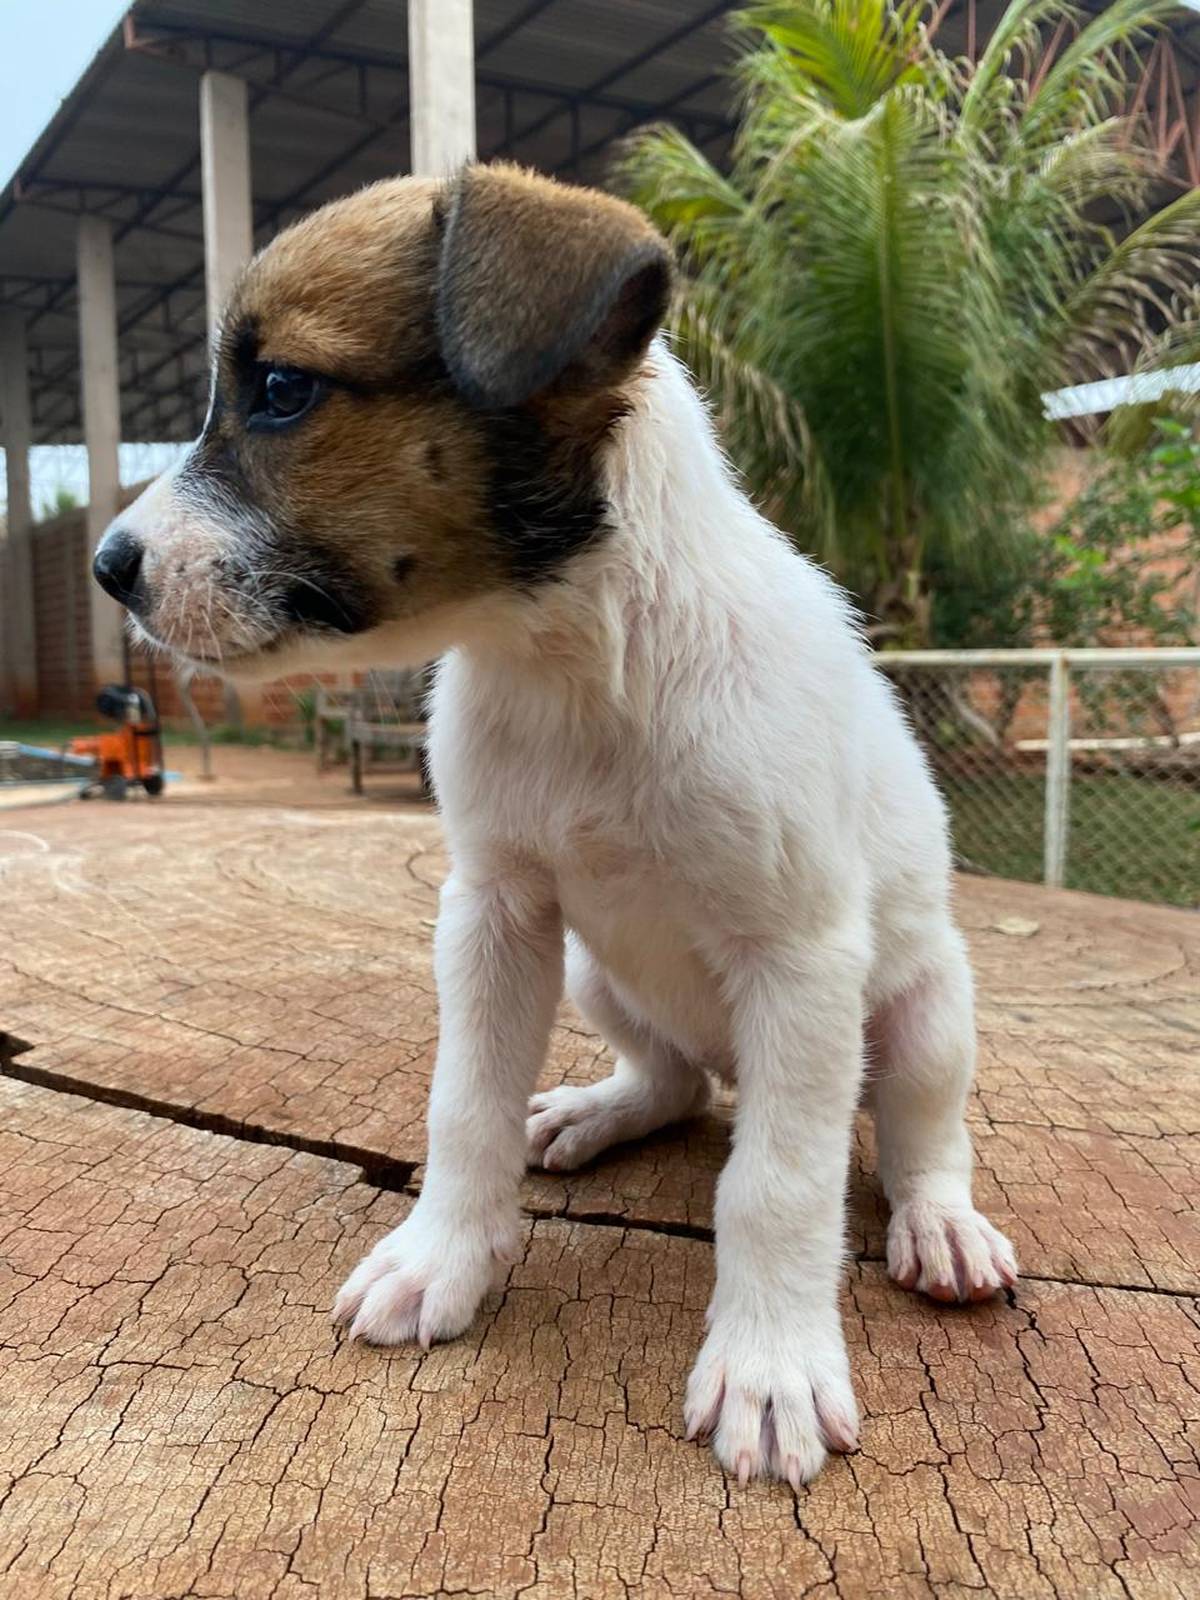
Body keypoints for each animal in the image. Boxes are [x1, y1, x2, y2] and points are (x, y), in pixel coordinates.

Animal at [94, 162, 1017, 1488]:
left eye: (281, 391)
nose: (107, 567)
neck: (573, 661)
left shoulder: (799, 958)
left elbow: (776, 1181)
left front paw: (772, 1365)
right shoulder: (496, 912)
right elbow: (465, 1105)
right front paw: (445, 1257)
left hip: (926, 1006)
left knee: (913, 1133)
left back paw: (941, 1224)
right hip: (598, 972)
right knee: (675, 1081)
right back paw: (592, 1110)